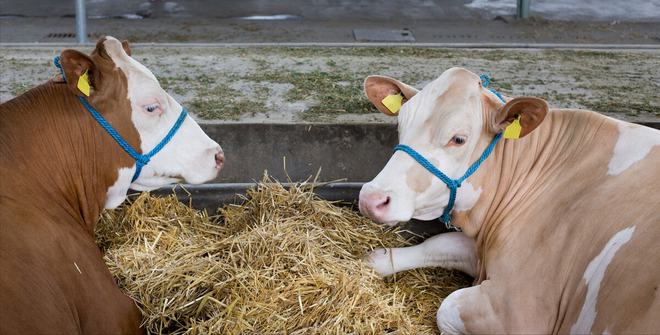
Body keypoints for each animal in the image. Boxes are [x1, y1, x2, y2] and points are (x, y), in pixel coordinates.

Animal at [360, 67, 660, 334]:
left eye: (459, 139)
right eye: (401, 126)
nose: (370, 197)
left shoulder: (518, 308)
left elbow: (447, 306)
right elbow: (442, 243)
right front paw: (375, 259)